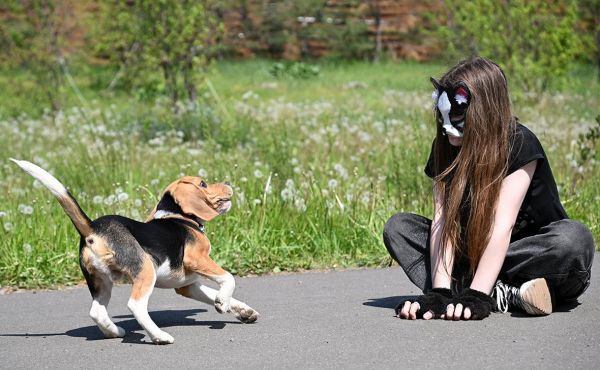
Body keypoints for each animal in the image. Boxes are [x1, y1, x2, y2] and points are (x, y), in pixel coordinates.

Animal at [9, 159, 258, 344]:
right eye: (204, 183)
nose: (228, 182)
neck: (178, 216)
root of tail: (93, 228)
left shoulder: (187, 285)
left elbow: (214, 293)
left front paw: (243, 311)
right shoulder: (197, 258)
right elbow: (228, 278)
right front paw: (222, 303)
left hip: (100, 281)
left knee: (96, 311)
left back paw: (114, 331)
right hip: (146, 269)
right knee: (136, 305)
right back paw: (159, 336)